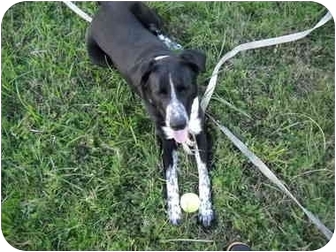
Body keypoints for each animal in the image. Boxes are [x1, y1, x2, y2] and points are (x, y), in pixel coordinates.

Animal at [86, 1, 213, 226]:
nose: (178, 124)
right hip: (99, 57)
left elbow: (204, 174)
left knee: (158, 29)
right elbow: (170, 177)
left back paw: (176, 46)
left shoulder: (199, 132)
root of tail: (105, 4)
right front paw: (174, 210)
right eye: (159, 93)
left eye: (185, 88)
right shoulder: (166, 140)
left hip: (145, 12)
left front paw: (206, 210)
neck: (161, 59)